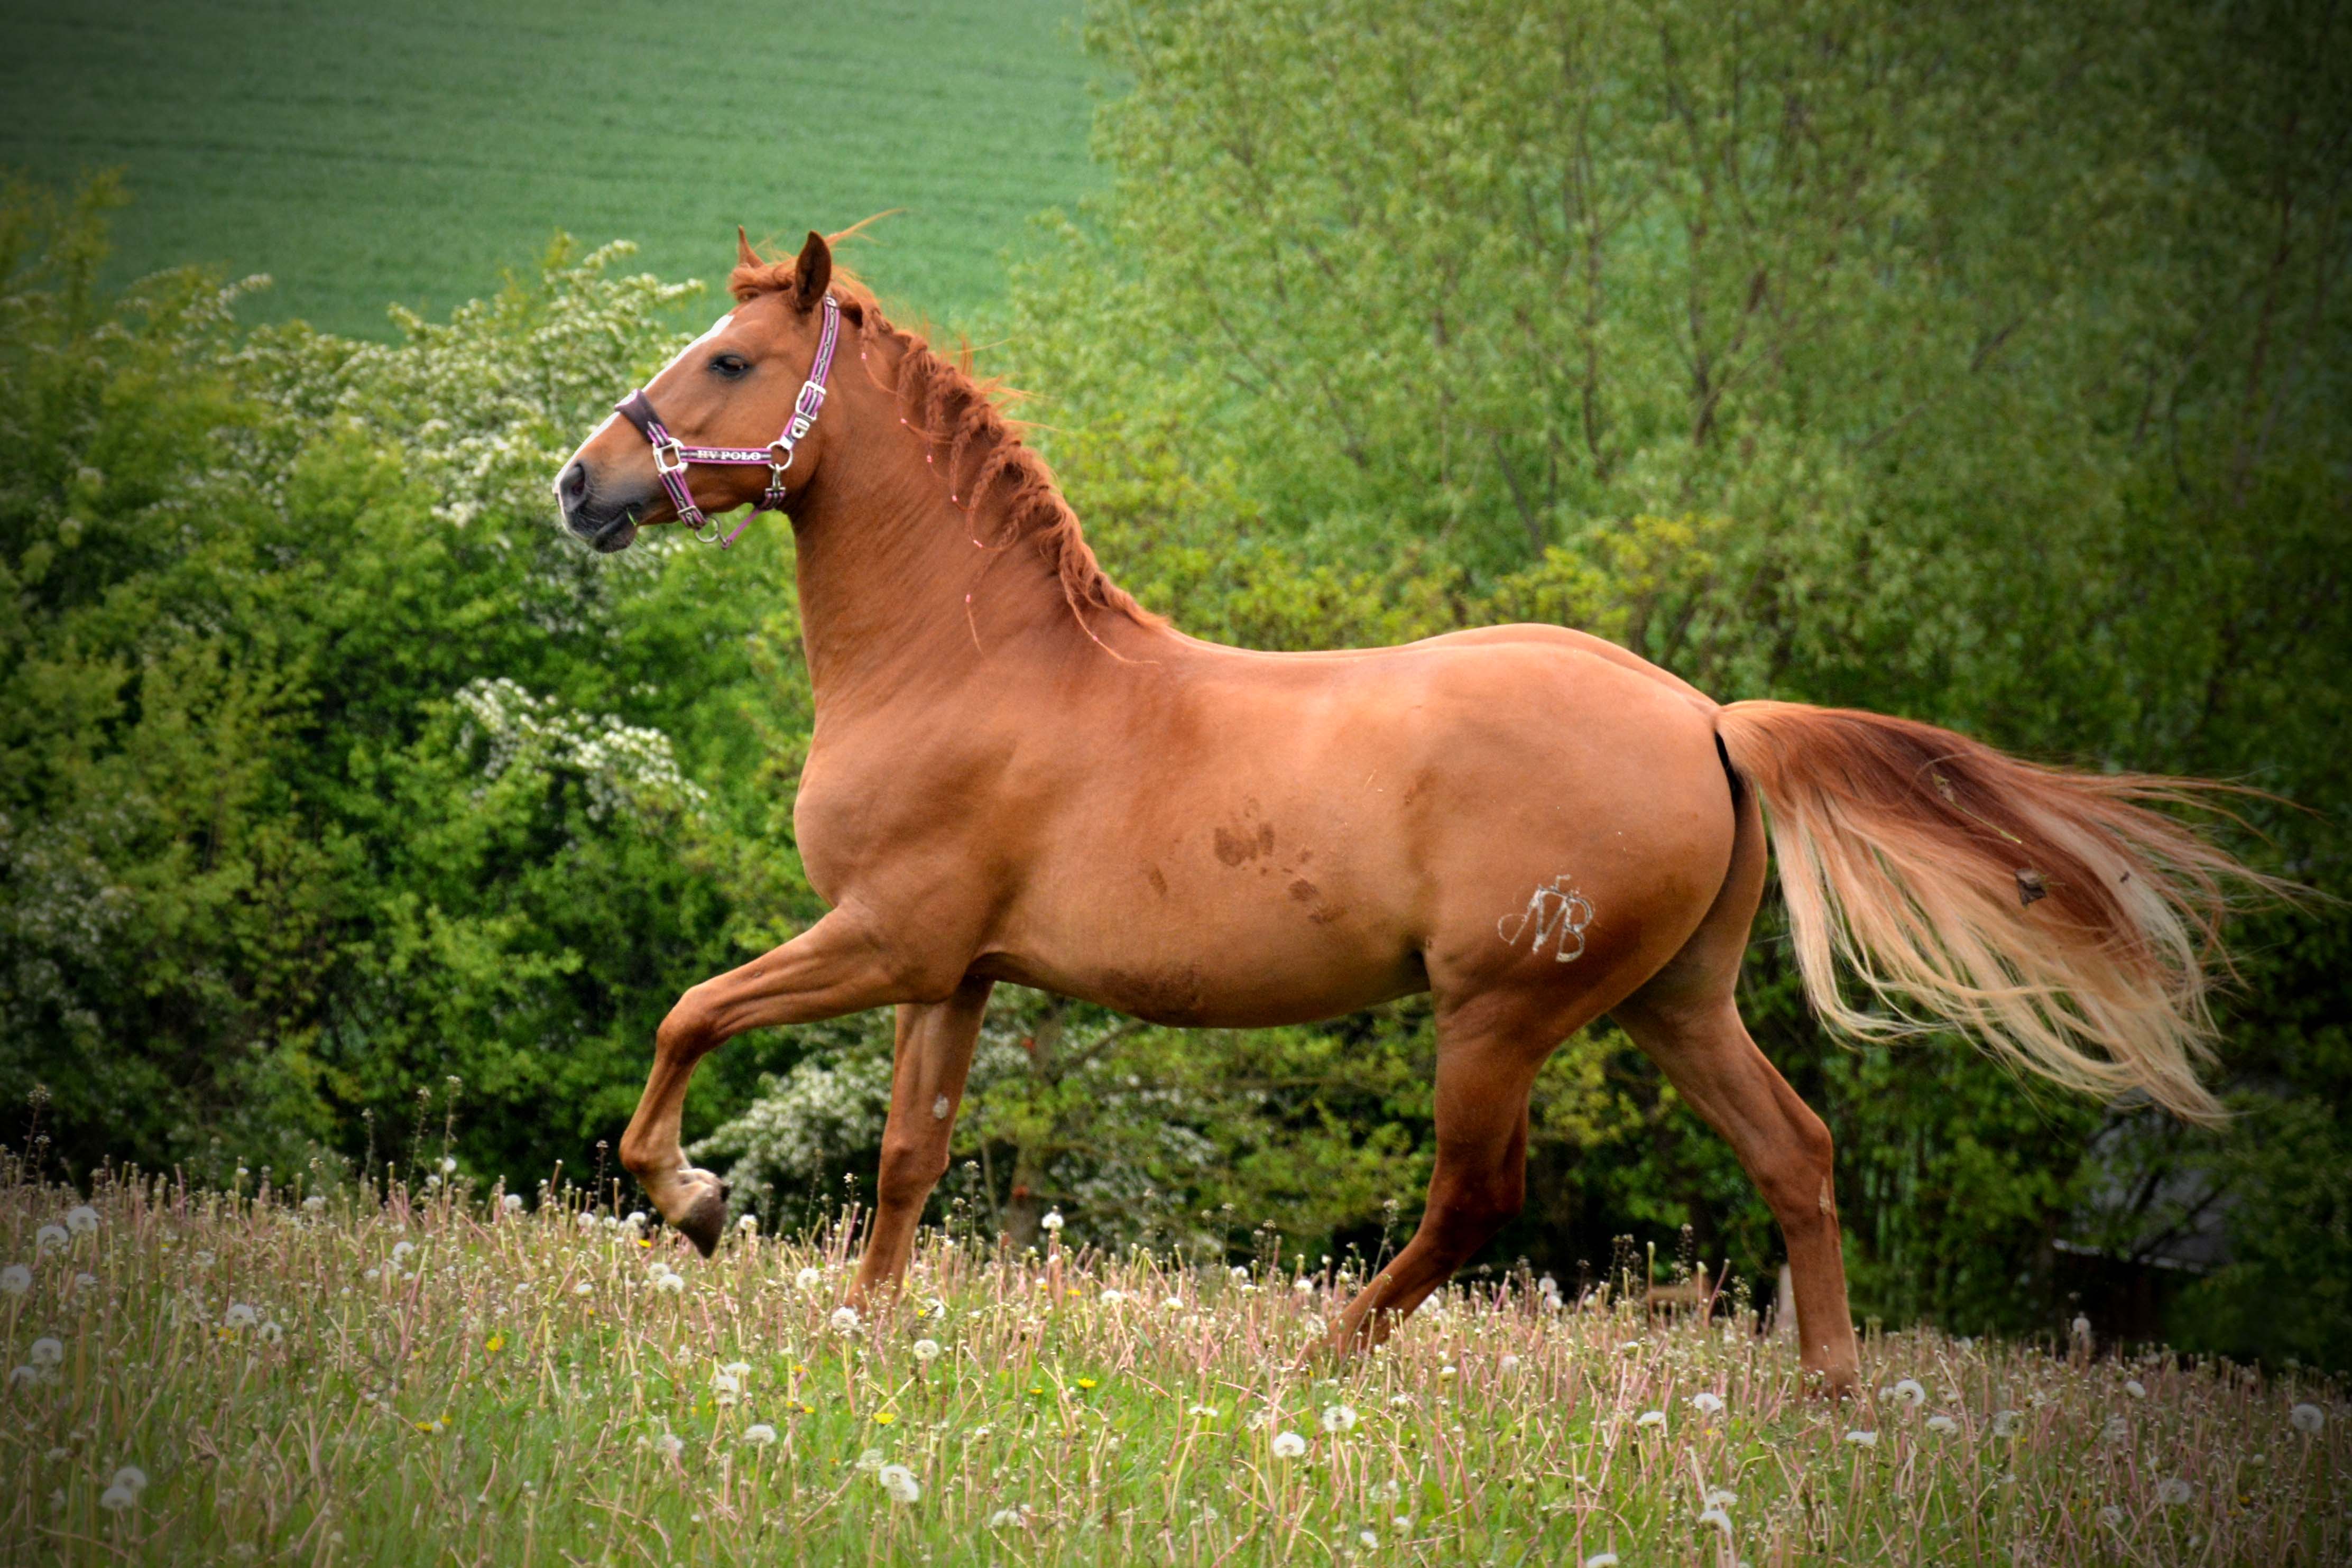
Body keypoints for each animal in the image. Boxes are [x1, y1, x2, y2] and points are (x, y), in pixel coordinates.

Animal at [555, 228, 2275, 1394]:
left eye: (728, 359)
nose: (579, 486)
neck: (973, 662)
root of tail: (1708, 719)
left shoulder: (885, 935)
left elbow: (691, 1011)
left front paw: (693, 1201)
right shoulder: (954, 970)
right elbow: (910, 1152)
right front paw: (862, 1328)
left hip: (1502, 1013)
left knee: (1474, 1201)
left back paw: (1315, 1361)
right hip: (1671, 1001)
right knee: (1795, 1152)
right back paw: (1830, 1401)